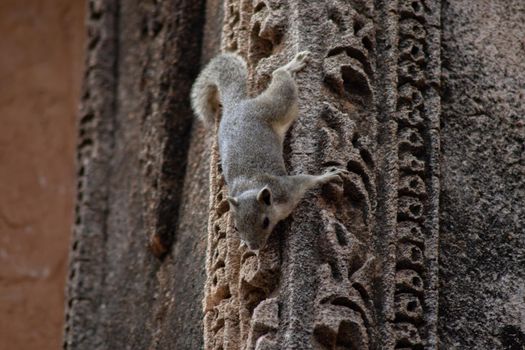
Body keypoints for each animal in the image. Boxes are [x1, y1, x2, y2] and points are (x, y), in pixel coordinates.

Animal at [190, 50, 346, 250]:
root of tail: (236, 107)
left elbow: (308, 180)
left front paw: (328, 175)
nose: (254, 247)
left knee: (280, 78)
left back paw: (292, 64)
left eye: (265, 222)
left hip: (277, 106)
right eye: (237, 227)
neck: (251, 189)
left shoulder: (287, 189)